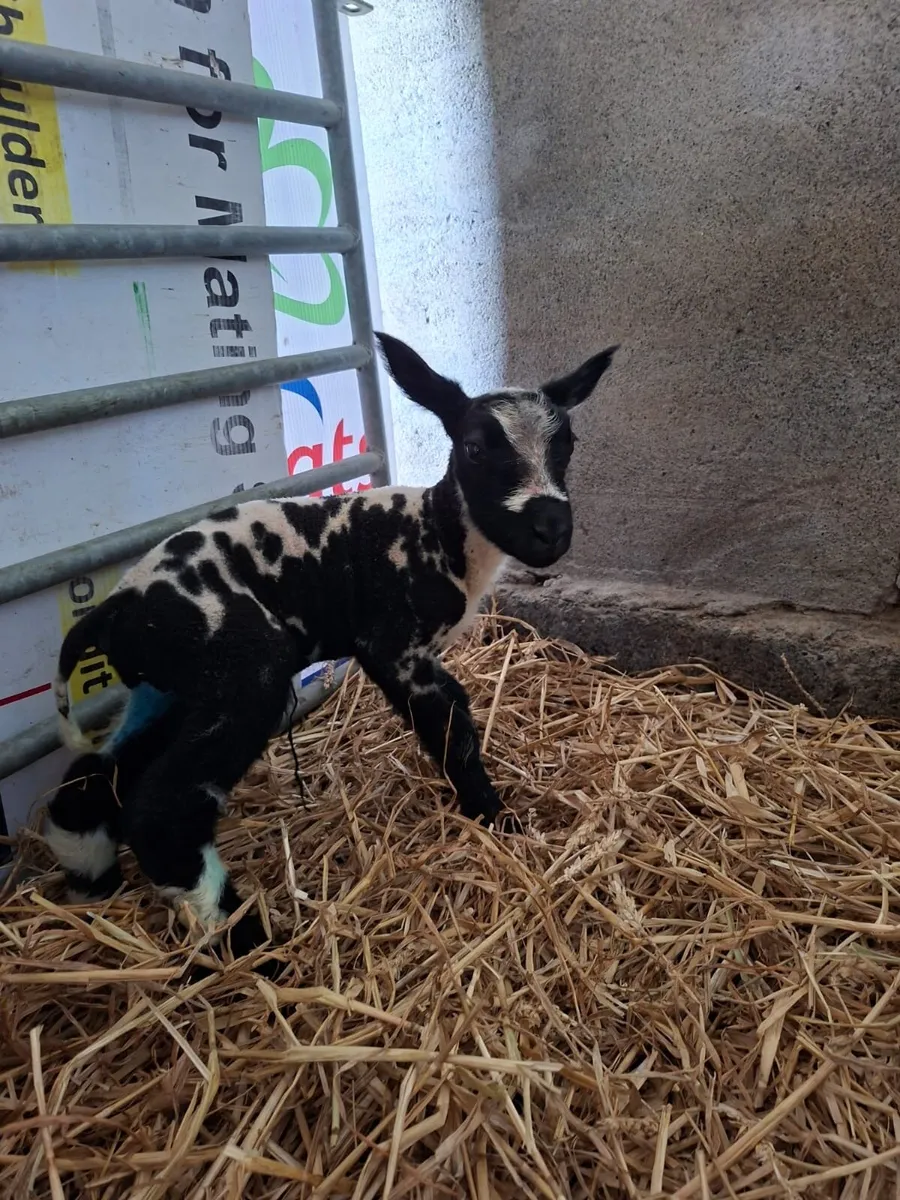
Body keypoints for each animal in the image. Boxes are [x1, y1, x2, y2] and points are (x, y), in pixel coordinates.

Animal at [45, 331, 618, 961]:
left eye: (567, 443)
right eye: (473, 447)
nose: (551, 529)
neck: (439, 532)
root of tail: (117, 609)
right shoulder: (390, 642)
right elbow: (450, 726)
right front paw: (494, 817)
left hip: (172, 685)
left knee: (99, 770)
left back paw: (92, 878)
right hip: (242, 667)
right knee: (162, 805)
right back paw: (242, 937)